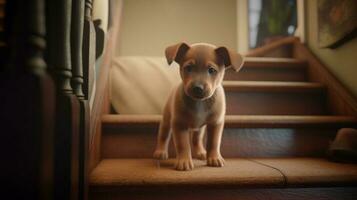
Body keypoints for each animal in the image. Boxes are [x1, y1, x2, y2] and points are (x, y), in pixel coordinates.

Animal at [152, 42, 243, 170]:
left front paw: (214, 158)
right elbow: (183, 145)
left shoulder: (215, 124)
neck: (200, 103)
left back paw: (201, 152)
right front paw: (184, 161)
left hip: (200, 129)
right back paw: (160, 151)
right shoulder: (179, 125)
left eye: (211, 70)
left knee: (196, 140)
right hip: (166, 121)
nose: (198, 88)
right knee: (163, 136)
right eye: (188, 68)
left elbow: (214, 143)